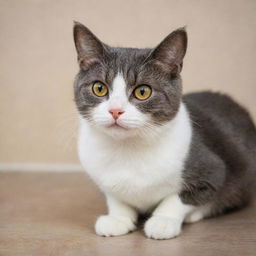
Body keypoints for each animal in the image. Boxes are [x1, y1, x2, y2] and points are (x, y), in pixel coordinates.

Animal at [72, 21, 256, 239]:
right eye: (99, 88)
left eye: (143, 92)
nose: (115, 110)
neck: (127, 150)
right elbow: (115, 197)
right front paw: (118, 218)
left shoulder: (213, 171)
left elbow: (179, 198)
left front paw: (163, 221)